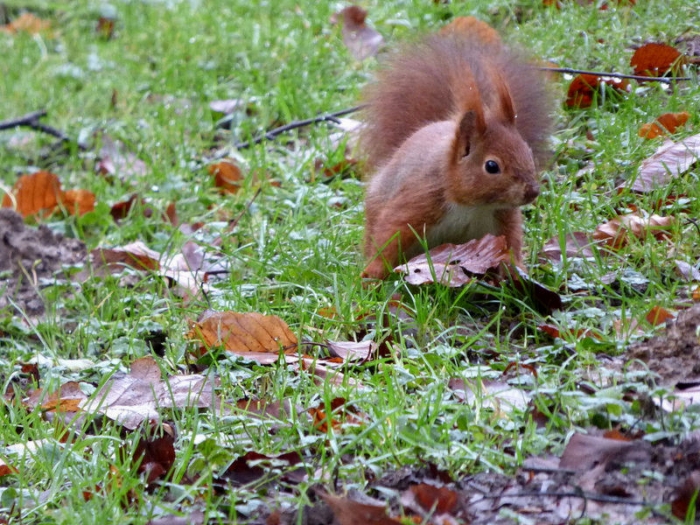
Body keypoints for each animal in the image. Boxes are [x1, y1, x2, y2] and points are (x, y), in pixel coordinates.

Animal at [360, 28, 552, 280]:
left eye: (527, 151)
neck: (473, 205)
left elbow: (510, 244)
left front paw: (516, 272)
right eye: (491, 166)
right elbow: (390, 235)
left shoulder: (503, 218)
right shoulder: (421, 199)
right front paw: (371, 275)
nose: (532, 192)